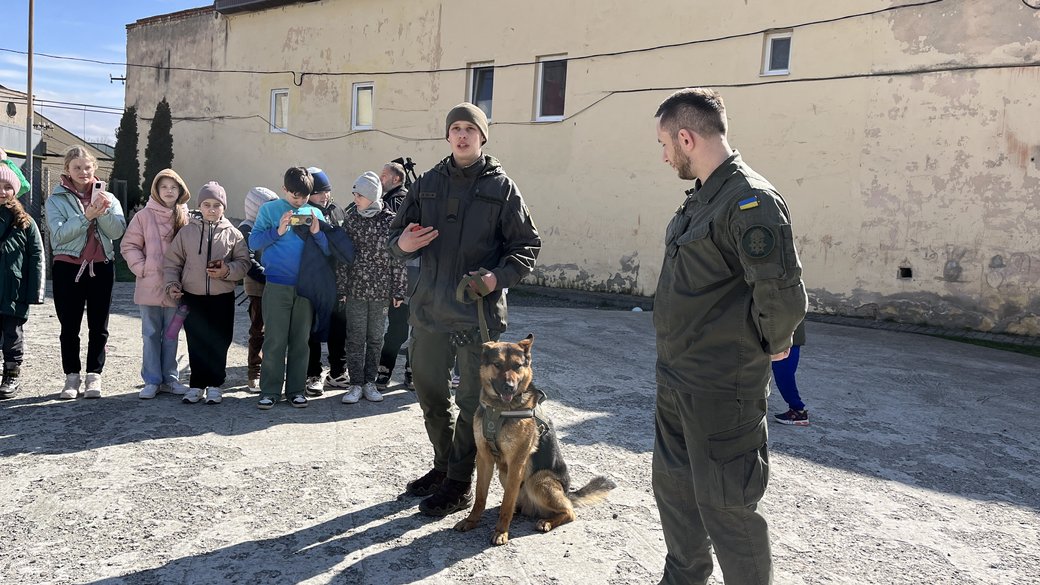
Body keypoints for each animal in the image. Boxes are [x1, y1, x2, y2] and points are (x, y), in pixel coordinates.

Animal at [451, 335, 611, 545]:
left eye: (518, 366)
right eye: (497, 364)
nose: (509, 387)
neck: (498, 409)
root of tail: (567, 493)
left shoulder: (516, 462)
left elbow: (507, 502)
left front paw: (501, 531)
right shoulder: (484, 458)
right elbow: (480, 496)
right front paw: (471, 521)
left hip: (538, 480)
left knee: (569, 511)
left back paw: (547, 522)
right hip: (505, 475)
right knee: (519, 503)